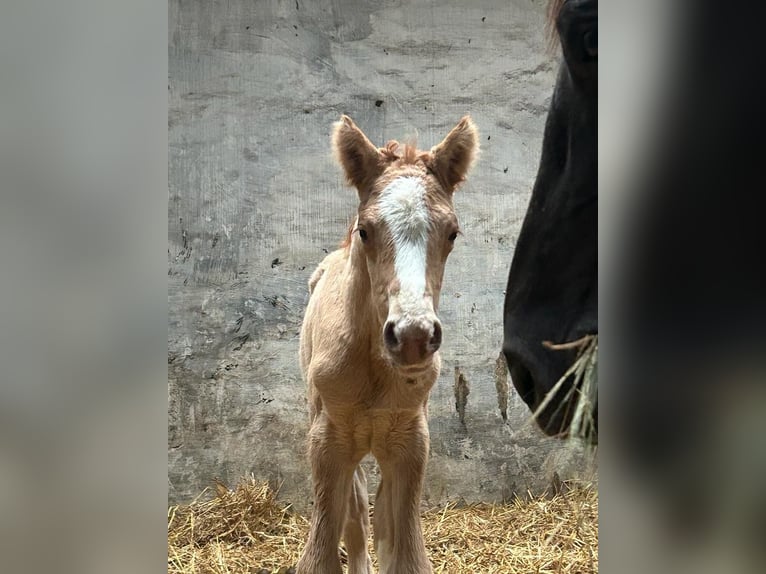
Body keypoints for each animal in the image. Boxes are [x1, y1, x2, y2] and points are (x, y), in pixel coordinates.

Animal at [296, 116, 476, 574]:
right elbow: (329, 544)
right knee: (357, 510)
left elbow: (403, 549)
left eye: (452, 233)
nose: (412, 337)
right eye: (364, 230)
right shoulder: (328, 441)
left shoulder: (410, 442)